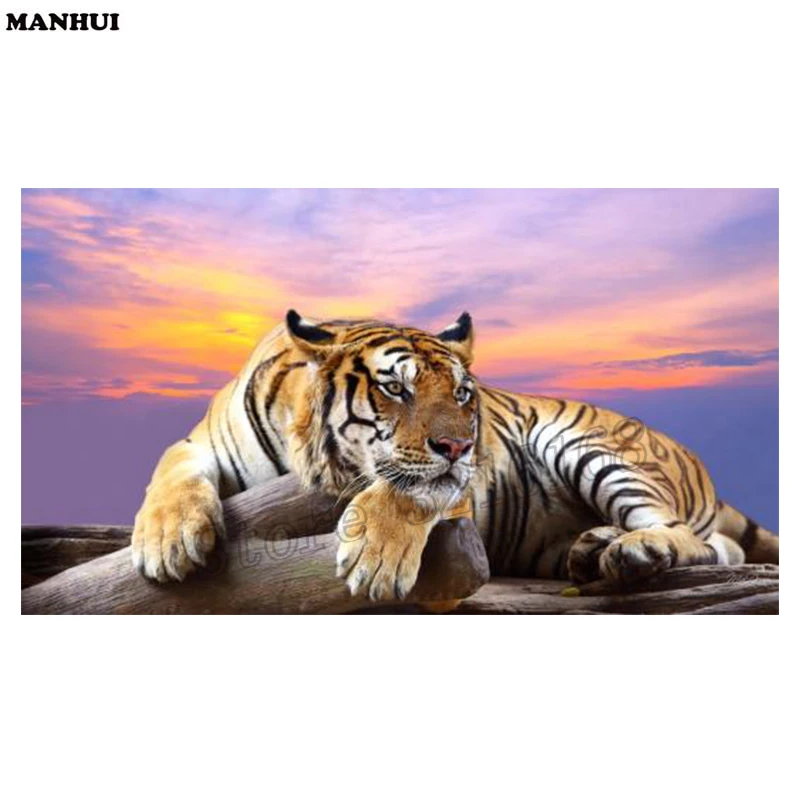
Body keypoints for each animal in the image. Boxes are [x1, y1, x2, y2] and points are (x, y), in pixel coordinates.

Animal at [132, 310, 779, 599]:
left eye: (463, 393)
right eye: (396, 388)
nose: (461, 445)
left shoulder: (453, 479)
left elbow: (410, 490)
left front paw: (376, 562)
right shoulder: (199, 443)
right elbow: (169, 472)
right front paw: (168, 542)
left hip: (587, 445)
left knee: (691, 538)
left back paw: (632, 551)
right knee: (718, 547)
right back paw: (593, 548)